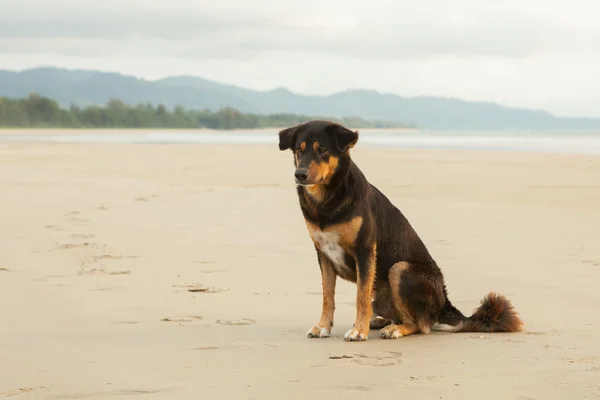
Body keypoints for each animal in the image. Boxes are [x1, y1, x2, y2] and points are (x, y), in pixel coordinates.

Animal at [278, 119, 524, 340]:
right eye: (298, 150)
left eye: (322, 150)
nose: (299, 175)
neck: (327, 198)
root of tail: (444, 303)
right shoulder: (324, 254)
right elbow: (327, 296)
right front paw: (323, 326)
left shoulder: (365, 251)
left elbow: (360, 297)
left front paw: (359, 331)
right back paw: (380, 321)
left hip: (400, 269)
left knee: (420, 324)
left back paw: (393, 329)